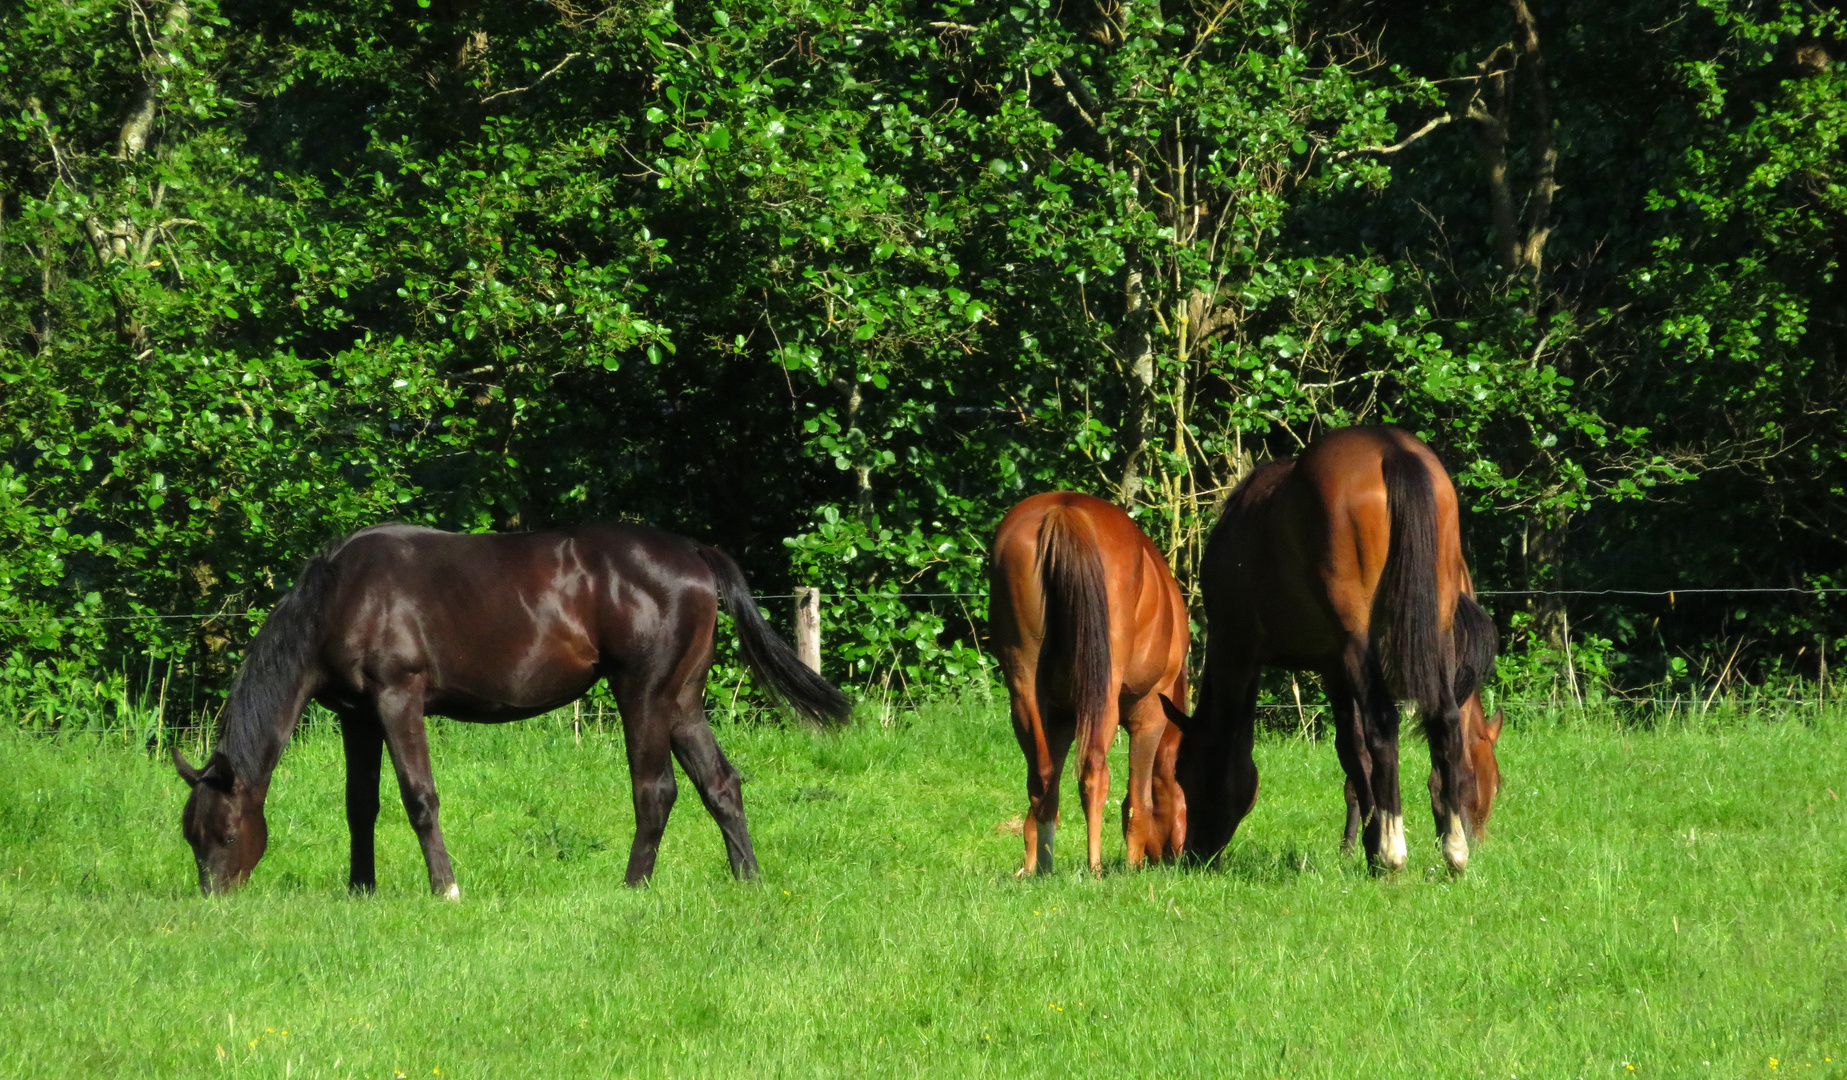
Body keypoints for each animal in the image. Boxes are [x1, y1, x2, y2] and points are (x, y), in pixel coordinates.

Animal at [173, 520, 849, 893]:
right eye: (191, 836)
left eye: (227, 831)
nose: (215, 896)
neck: (341, 596)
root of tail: (694, 553)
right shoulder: (357, 715)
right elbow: (359, 806)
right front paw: (360, 889)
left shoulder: (398, 699)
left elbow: (419, 798)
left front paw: (445, 888)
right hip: (681, 700)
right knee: (720, 784)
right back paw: (747, 879)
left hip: (644, 694)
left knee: (655, 791)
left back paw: (632, 886)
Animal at [989, 491, 1189, 871]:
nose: (1179, 857)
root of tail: (1064, 508)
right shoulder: (1149, 715)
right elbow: (1138, 802)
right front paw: (1131, 865)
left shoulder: (1061, 718)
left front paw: (1031, 861)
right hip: (1103, 696)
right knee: (1094, 771)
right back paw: (1094, 866)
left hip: (1025, 687)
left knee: (1041, 776)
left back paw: (1045, 870)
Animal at [1167, 424, 1499, 871]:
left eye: (1186, 773)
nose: (1194, 855)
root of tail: (1390, 449)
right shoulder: (1332, 664)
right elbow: (1355, 754)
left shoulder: (1279, 659)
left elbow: (1352, 750)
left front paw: (1372, 843)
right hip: (1436, 631)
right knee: (1443, 720)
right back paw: (1454, 851)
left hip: (1359, 644)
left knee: (1383, 728)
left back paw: (1392, 852)